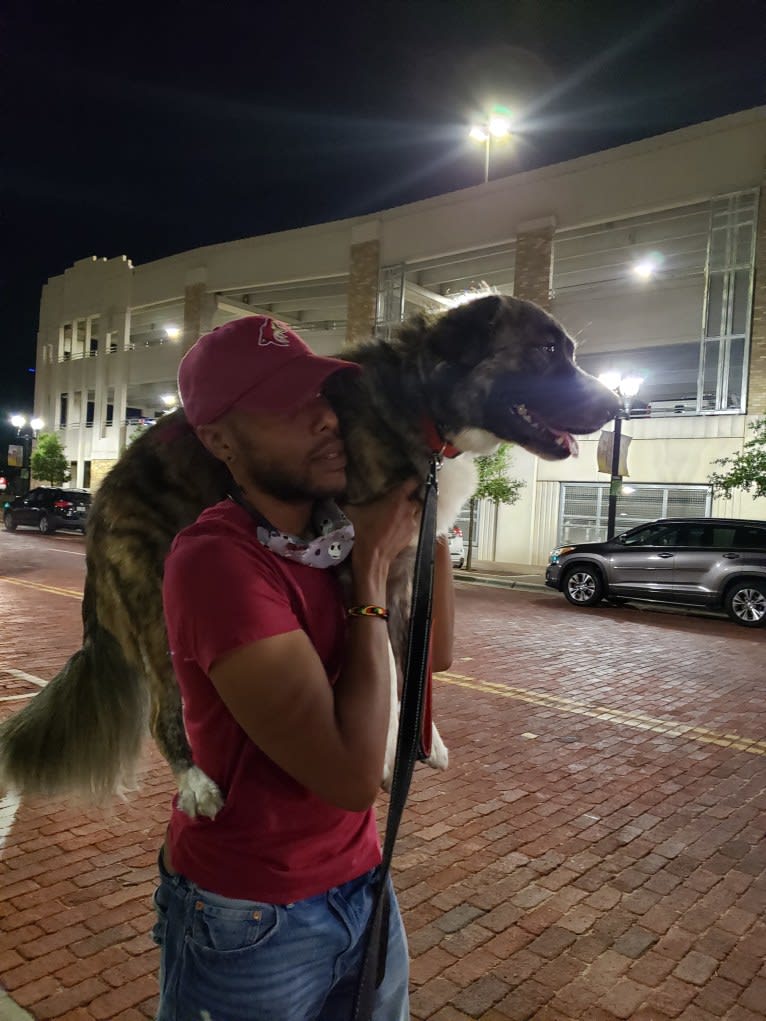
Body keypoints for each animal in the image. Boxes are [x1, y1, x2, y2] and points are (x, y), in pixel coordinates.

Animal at [0, 294, 616, 812]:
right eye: (545, 350)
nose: (616, 403)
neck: (416, 402)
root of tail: (100, 502)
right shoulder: (360, 563)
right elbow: (385, 665)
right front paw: (386, 759)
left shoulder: (405, 571)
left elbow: (411, 665)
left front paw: (421, 742)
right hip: (156, 608)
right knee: (163, 711)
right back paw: (195, 784)